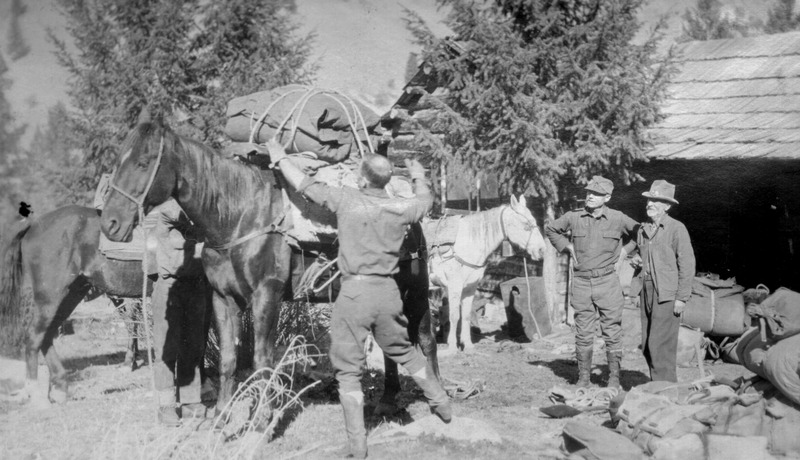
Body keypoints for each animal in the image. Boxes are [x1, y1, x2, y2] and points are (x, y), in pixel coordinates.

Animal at [0, 207, 152, 408]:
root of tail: (34, 225)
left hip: (70, 296)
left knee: (46, 336)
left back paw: (60, 388)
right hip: (51, 296)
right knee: (34, 337)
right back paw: (37, 396)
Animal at [100, 124, 440, 416]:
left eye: (143, 163)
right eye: (118, 161)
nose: (110, 223)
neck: (238, 218)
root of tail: (408, 210)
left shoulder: (267, 296)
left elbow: (262, 359)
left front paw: (262, 415)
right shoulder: (223, 299)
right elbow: (228, 359)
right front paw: (222, 415)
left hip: (415, 293)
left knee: (426, 339)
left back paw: (436, 394)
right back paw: (387, 400)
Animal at [422, 195, 548, 352]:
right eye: (526, 225)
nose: (542, 250)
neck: (467, 243)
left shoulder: (470, 287)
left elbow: (466, 315)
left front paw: (468, 346)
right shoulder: (454, 286)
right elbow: (454, 316)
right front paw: (452, 348)